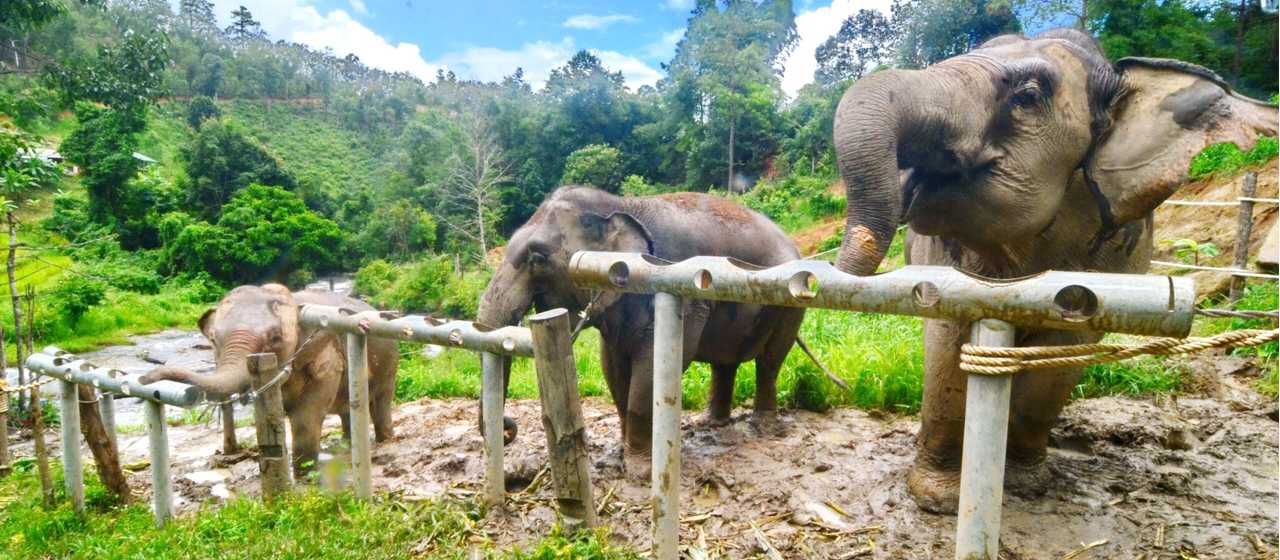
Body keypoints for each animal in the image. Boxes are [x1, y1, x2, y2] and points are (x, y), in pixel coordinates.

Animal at [141, 284, 399, 474]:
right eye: (213, 340)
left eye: (275, 338)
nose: (145, 378)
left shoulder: (327, 357)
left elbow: (306, 416)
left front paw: (304, 473)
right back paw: (346, 444)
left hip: (389, 359)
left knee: (381, 400)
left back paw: (384, 440)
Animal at [477, 186, 806, 471]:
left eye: (537, 258)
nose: (508, 430)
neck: (618, 204)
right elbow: (613, 368)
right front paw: (619, 457)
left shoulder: (682, 293)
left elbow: (652, 368)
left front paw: (639, 471)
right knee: (725, 363)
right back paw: (711, 424)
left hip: (790, 303)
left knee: (770, 361)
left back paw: (762, 428)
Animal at [829, 27, 1277, 513]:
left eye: (1028, 96)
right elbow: (947, 346)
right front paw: (938, 499)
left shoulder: (1115, 257)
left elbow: (1062, 357)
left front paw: (1027, 484)